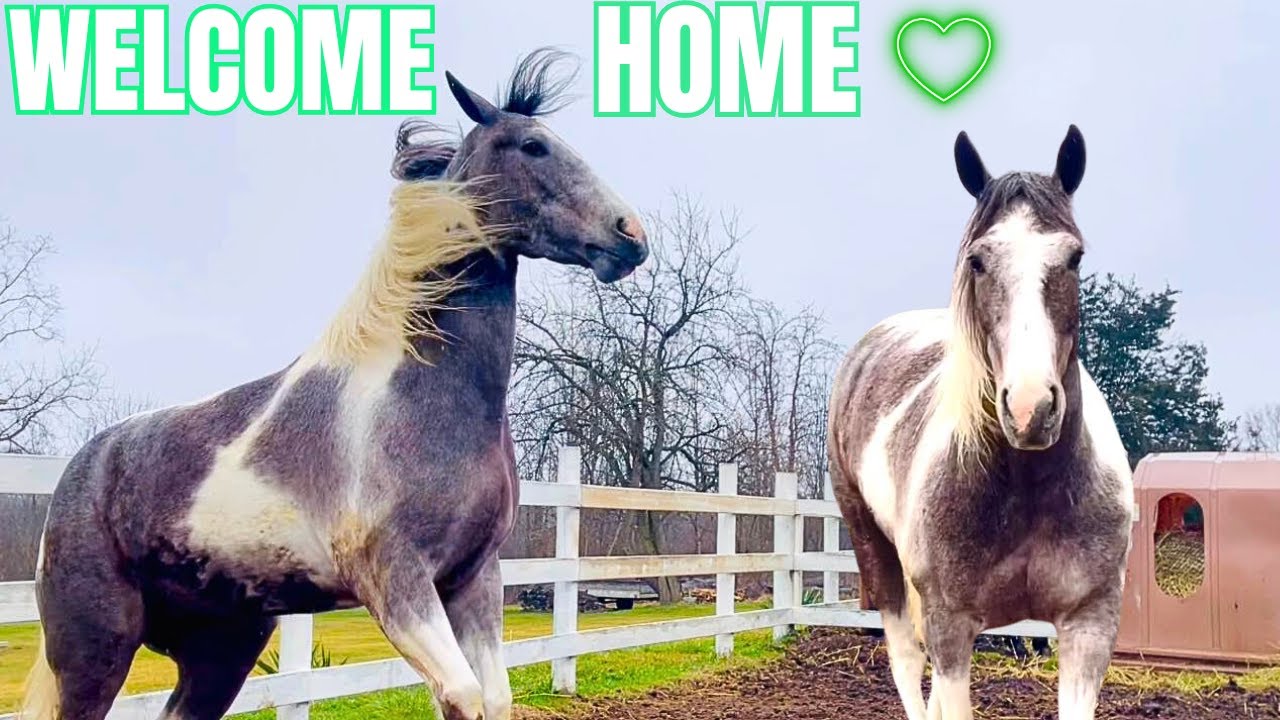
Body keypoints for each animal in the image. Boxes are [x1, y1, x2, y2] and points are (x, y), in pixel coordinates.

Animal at [21, 49, 647, 720]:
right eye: (533, 146)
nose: (630, 235)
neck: (416, 397)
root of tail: (84, 466)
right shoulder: (394, 579)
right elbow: (463, 695)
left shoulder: (473, 578)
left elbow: (494, 698)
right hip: (94, 648)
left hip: (223, 647)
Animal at [827, 126, 1134, 720]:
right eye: (977, 261)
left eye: (1074, 257)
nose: (1031, 409)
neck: (1030, 490)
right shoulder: (951, 626)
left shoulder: (1090, 625)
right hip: (875, 553)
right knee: (907, 664)